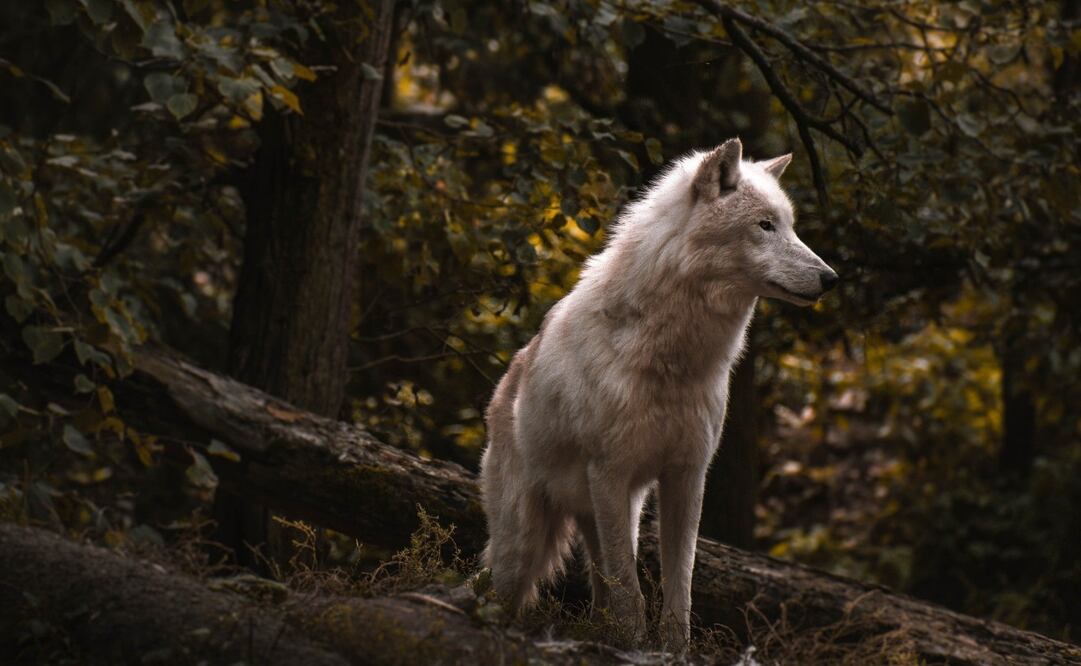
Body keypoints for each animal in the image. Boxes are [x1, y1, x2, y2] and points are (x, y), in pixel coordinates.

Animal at [479, 138, 837, 644]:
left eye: (789, 225)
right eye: (765, 225)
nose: (831, 278)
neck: (673, 362)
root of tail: (503, 388)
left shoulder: (687, 475)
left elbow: (678, 585)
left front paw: (672, 647)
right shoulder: (608, 472)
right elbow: (630, 591)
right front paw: (633, 644)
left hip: (615, 514)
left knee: (599, 586)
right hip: (527, 540)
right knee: (508, 586)